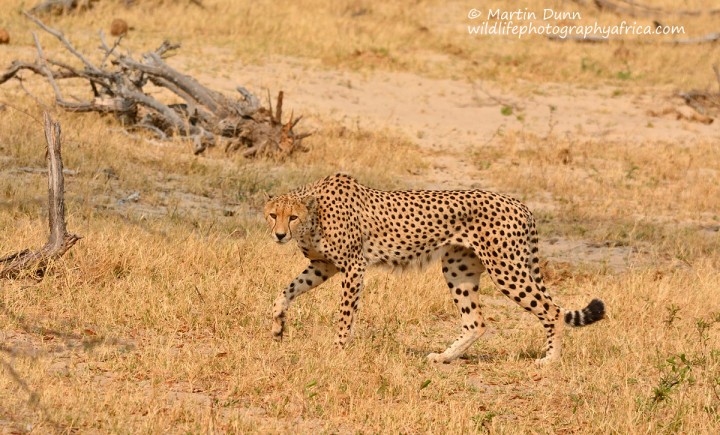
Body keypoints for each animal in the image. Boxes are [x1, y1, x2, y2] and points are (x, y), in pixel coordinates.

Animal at [262, 174, 604, 364]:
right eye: (272, 215)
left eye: (292, 217)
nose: (279, 235)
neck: (314, 214)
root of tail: (520, 203)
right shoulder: (323, 266)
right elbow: (286, 291)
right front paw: (278, 327)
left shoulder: (353, 267)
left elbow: (345, 314)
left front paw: (337, 348)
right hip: (458, 268)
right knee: (476, 322)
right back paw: (444, 357)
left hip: (506, 268)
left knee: (552, 311)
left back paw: (550, 360)